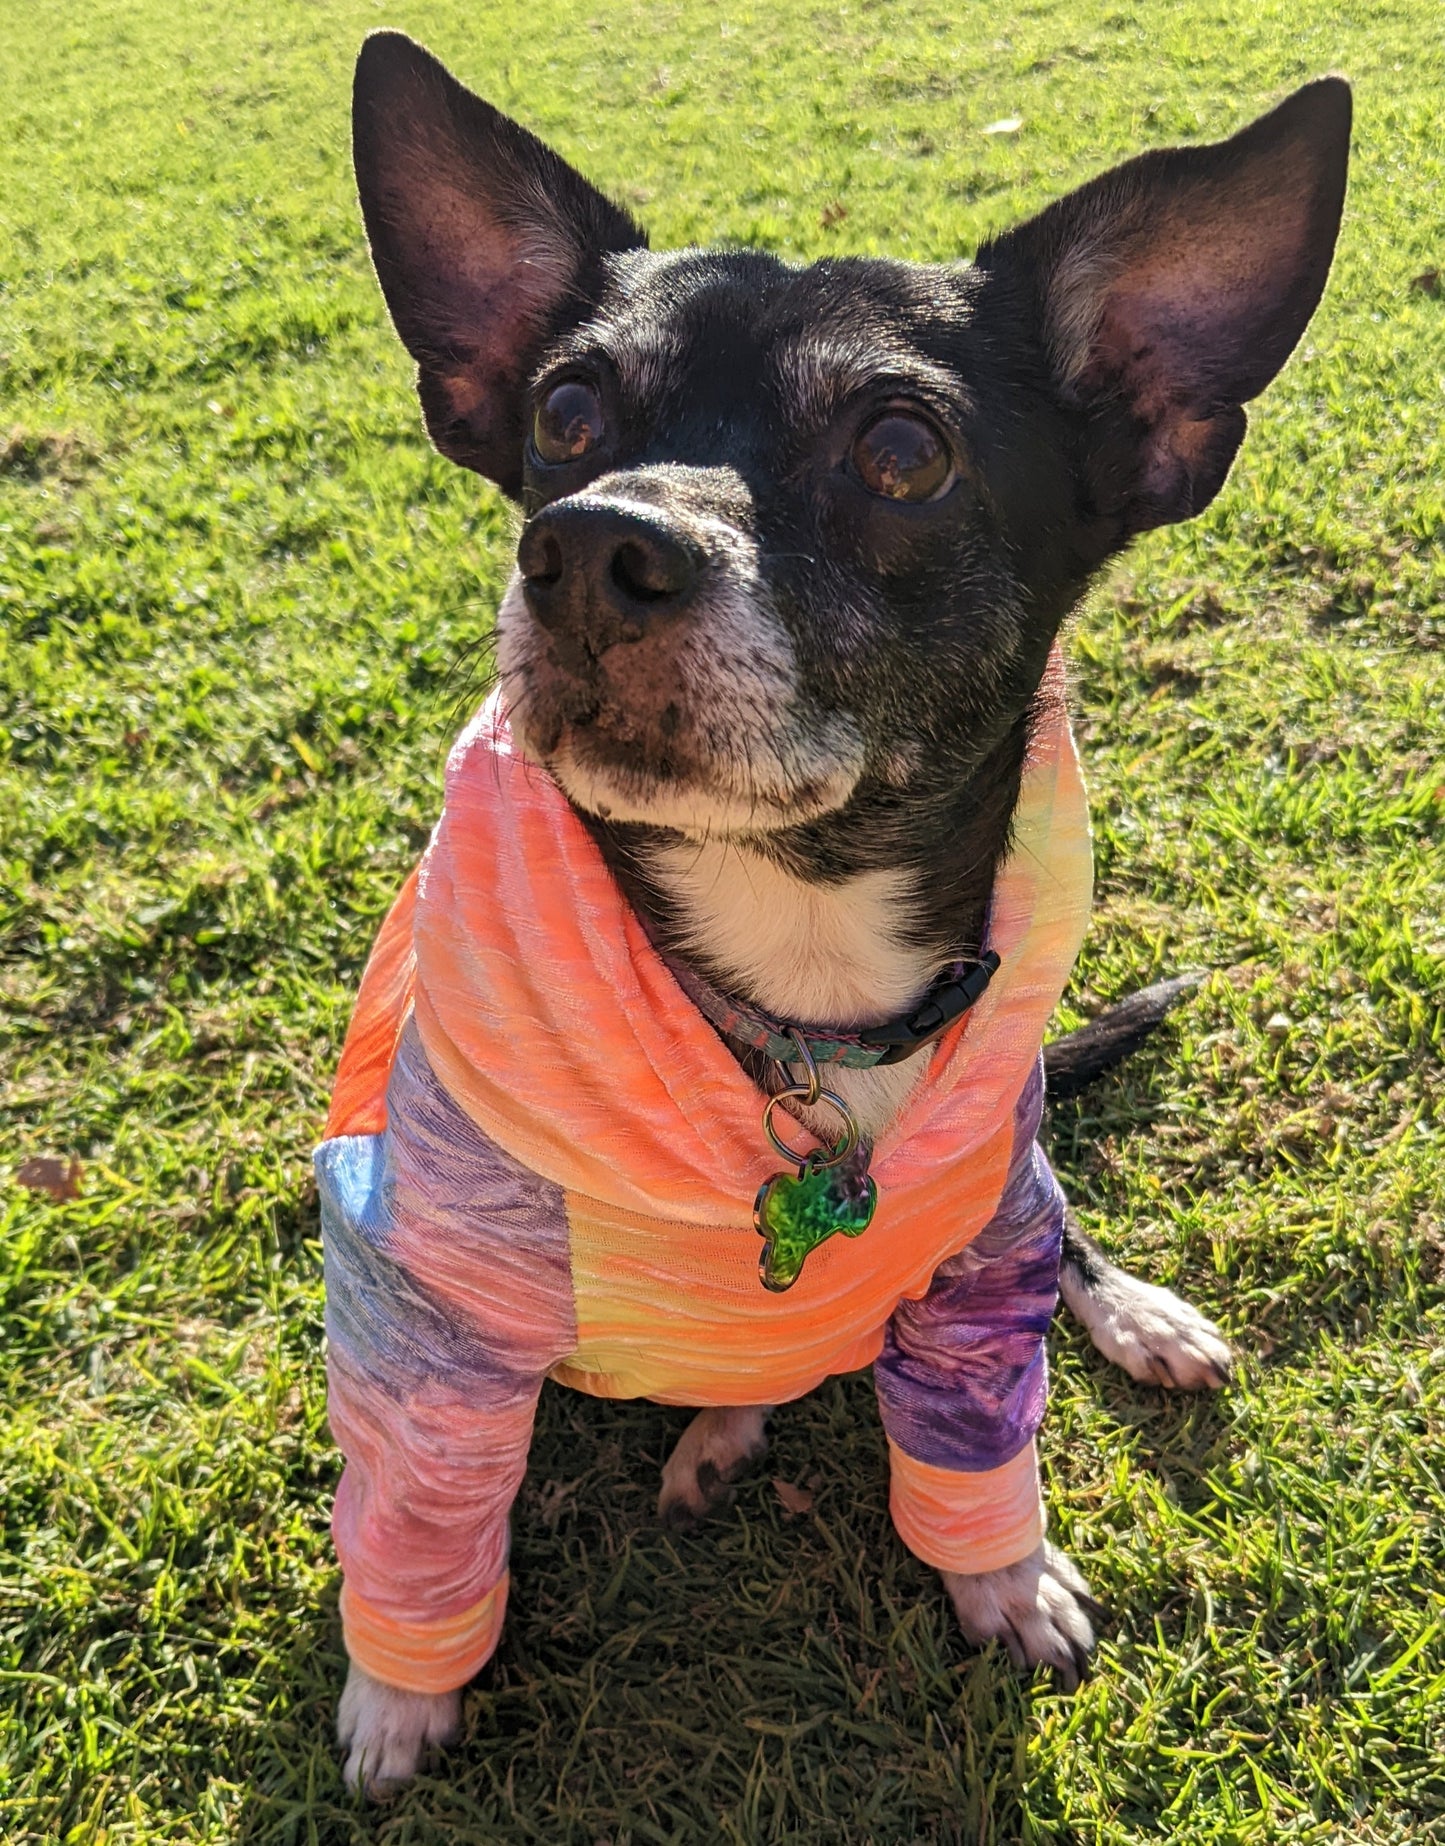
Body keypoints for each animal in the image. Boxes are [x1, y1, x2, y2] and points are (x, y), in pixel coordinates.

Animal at [322, 28, 1350, 1786]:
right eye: (564, 411)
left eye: (901, 449)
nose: (586, 542)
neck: (800, 981)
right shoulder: (424, 1319)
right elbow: (419, 1510)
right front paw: (401, 1692)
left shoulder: (983, 1249)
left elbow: (984, 1439)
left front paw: (1003, 1576)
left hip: (1011, 1171)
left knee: (1060, 1215)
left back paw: (1125, 1310)